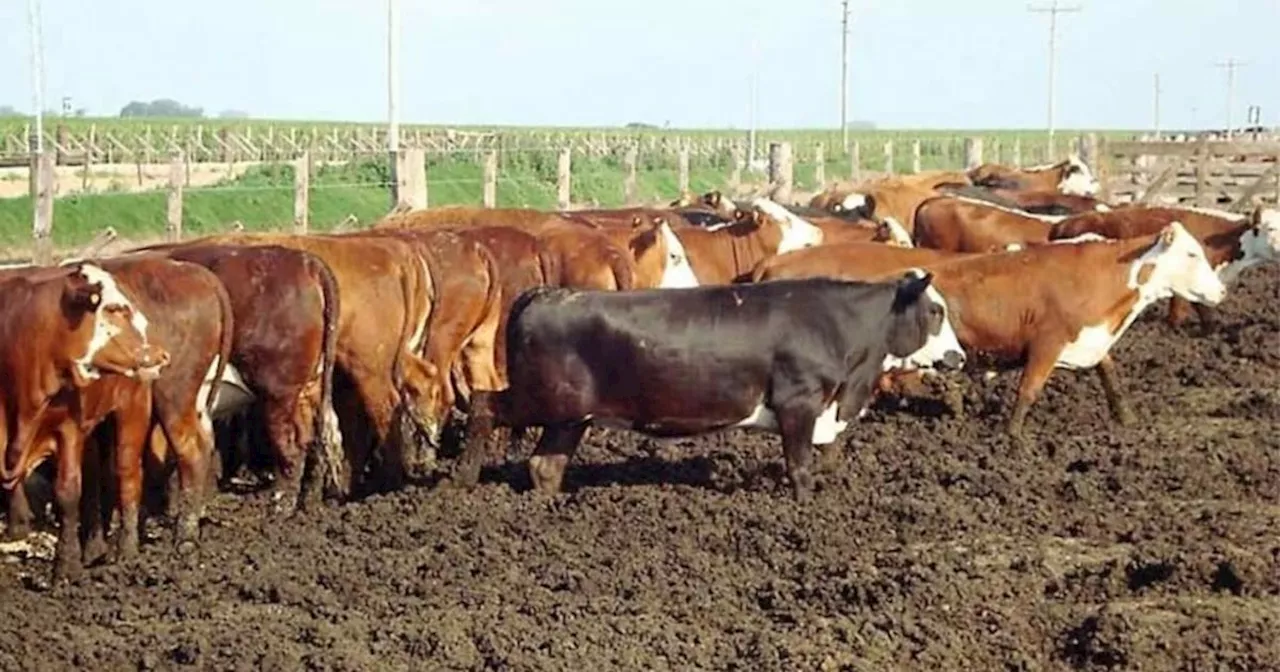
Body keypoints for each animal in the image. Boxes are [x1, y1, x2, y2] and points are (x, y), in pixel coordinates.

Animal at [455, 271, 962, 496]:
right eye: (936, 311)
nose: (957, 357)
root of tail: (548, 293)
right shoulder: (798, 403)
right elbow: (799, 467)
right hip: (541, 400)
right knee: (483, 405)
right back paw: (462, 482)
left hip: (570, 415)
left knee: (546, 465)